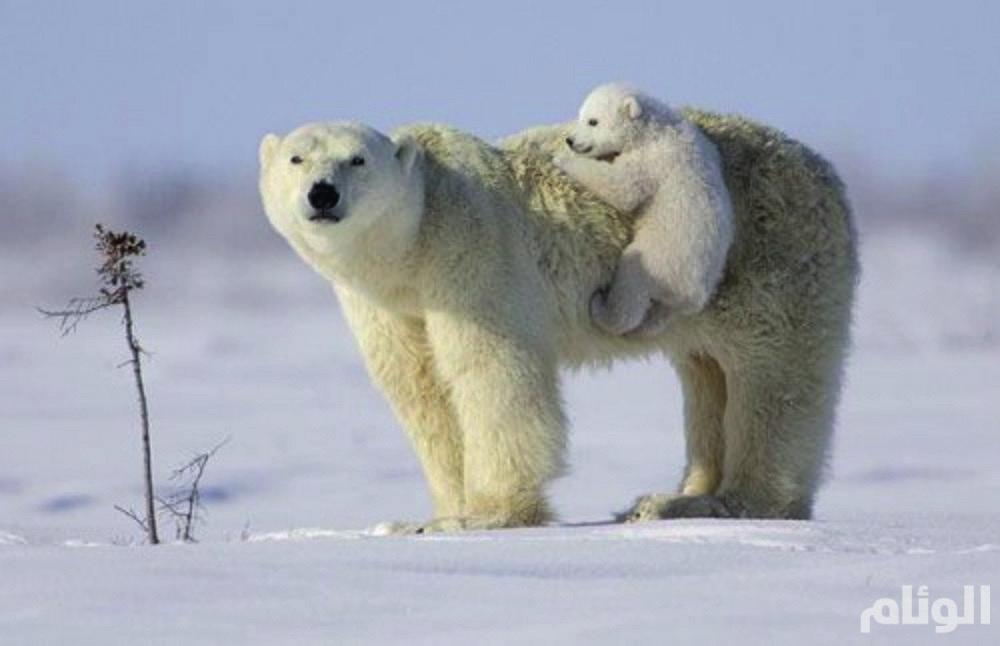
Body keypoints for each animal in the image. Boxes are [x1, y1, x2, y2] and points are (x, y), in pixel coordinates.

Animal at [258, 111, 860, 536]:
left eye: (357, 159)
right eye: (296, 159)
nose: (322, 193)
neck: (413, 244)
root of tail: (827, 172)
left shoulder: (471, 252)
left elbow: (492, 374)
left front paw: (489, 514)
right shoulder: (386, 305)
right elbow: (421, 391)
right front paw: (434, 514)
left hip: (771, 256)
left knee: (772, 380)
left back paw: (735, 501)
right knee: (706, 374)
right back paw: (670, 499)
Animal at [560, 83, 732, 336]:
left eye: (593, 121)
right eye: (580, 115)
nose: (570, 140)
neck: (654, 128)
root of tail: (694, 294)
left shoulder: (653, 159)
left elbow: (623, 188)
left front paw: (562, 160)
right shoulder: (703, 142)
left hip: (660, 260)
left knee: (631, 284)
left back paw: (601, 308)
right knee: (658, 316)